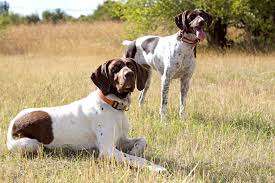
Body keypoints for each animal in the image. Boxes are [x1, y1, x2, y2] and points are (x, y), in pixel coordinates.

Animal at [7, 58, 166, 172]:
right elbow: (137, 159)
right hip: (32, 144)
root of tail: (12, 124)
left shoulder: (120, 140)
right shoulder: (108, 150)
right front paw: (156, 167)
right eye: (115, 69)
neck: (112, 105)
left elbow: (142, 141)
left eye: (131, 66)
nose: (129, 74)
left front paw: (135, 150)